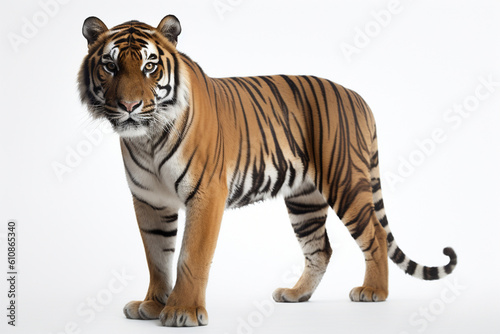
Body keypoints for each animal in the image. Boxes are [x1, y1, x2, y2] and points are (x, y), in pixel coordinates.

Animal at [77, 15, 458, 326]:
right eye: (110, 66)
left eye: (150, 67)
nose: (129, 106)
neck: (148, 137)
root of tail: (357, 97)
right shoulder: (150, 201)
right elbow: (157, 257)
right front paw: (153, 305)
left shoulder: (206, 193)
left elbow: (190, 256)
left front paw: (182, 311)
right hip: (305, 200)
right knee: (320, 249)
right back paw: (296, 294)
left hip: (346, 182)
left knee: (375, 234)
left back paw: (373, 291)